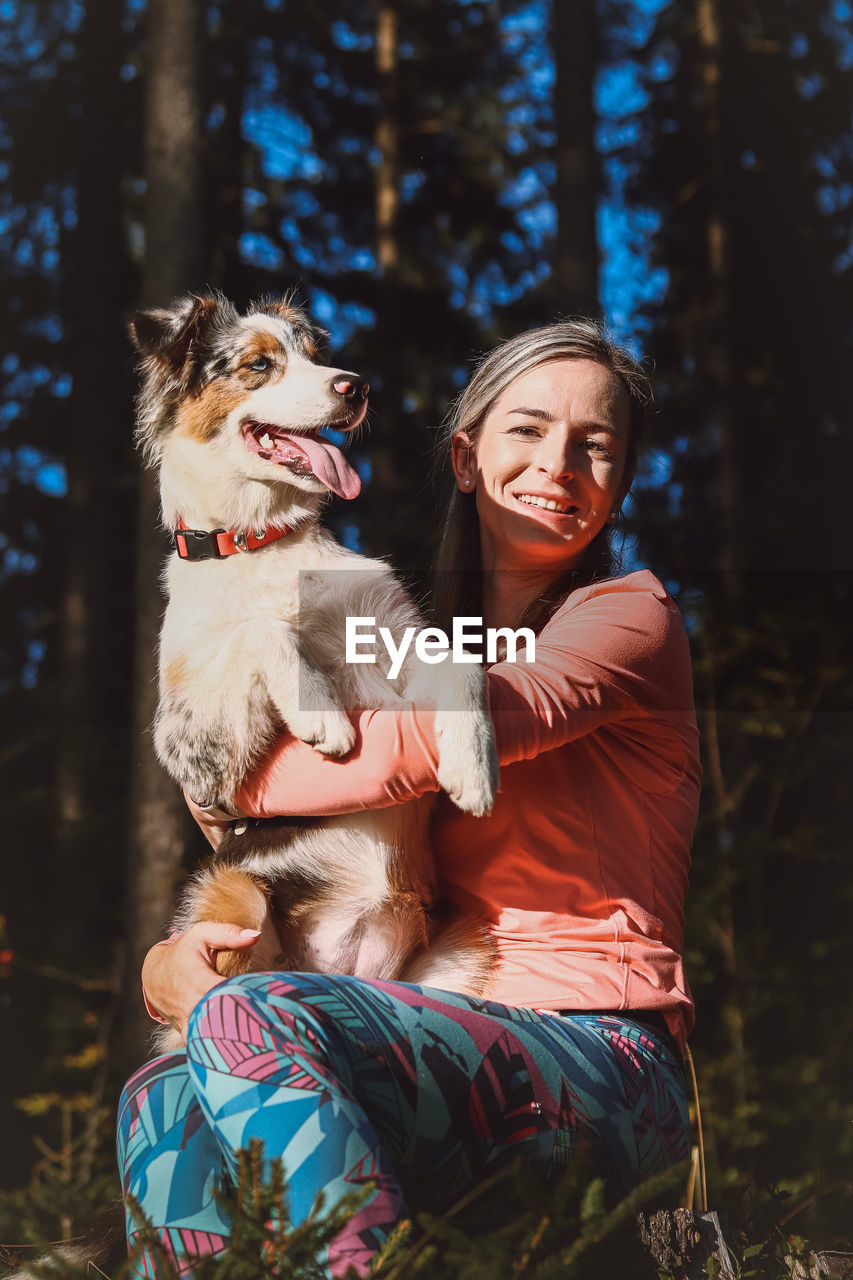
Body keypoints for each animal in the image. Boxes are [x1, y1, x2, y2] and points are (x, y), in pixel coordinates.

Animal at [129, 294, 494, 1044]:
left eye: (315, 355)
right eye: (258, 365)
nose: (356, 386)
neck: (264, 539)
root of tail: (349, 967)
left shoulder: (397, 649)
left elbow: (463, 667)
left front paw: (473, 768)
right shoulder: (190, 752)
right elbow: (261, 628)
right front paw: (320, 711)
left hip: (464, 951)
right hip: (232, 897)